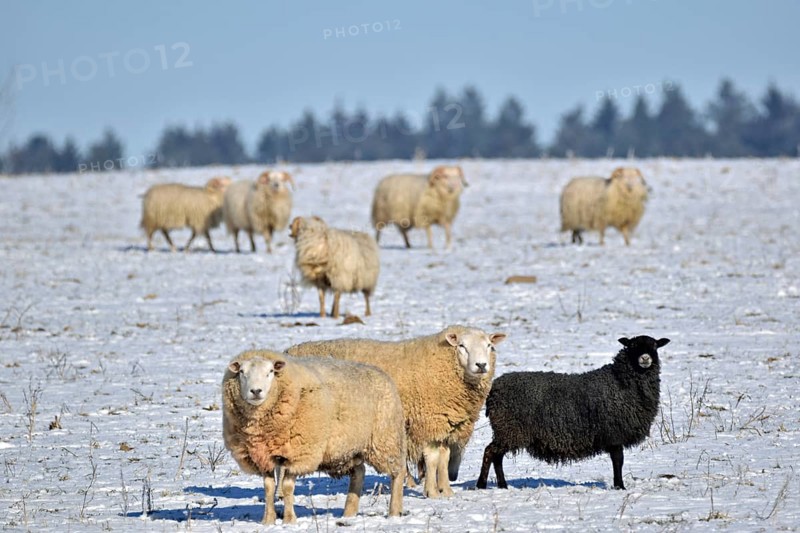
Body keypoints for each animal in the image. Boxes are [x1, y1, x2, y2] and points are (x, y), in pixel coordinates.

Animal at [222, 350, 405, 525]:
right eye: (242, 372)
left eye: (271, 371)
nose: (256, 391)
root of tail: (381, 373)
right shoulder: (262, 457)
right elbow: (268, 488)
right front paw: (267, 520)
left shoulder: (299, 454)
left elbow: (287, 487)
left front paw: (289, 520)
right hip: (348, 448)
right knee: (359, 472)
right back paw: (349, 513)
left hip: (385, 439)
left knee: (398, 472)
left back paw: (394, 512)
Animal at [287, 325, 507, 498]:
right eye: (462, 346)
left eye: (489, 346)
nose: (481, 365)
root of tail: (289, 351)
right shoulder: (428, 421)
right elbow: (433, 458)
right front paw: (432, 492)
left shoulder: (444, 424)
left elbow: (443, 458)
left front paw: (446, 490)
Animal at [476, 335, 670, 491]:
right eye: (632, 345)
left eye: (654, 346)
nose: (645, 358)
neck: (619, 381)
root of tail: (494, 389)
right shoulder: (614, 433)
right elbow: (618, 461)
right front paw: (620, 487)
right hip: (509, 429)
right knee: (489, 452)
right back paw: (481, 485)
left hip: (506, 431)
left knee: (497, 457)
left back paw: (502, 485)